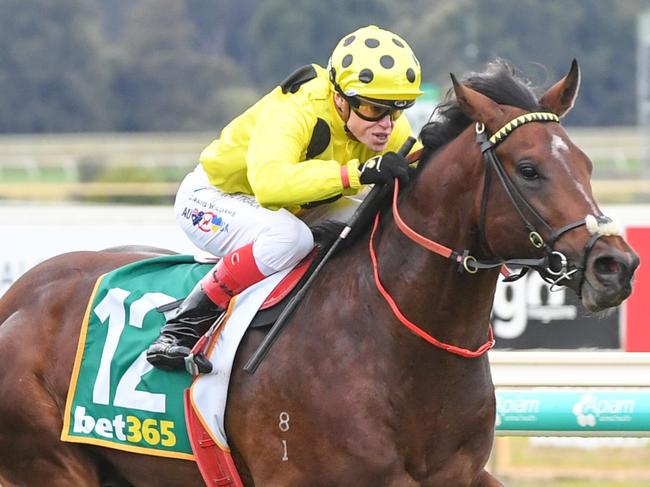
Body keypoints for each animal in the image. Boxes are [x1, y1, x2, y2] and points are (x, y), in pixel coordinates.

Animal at [0, 61, 636, 487]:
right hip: (52, 465)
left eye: (587, 163)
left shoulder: (460, 475)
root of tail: (18, 296)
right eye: (528, 169)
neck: (393, 342)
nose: (617, 265)